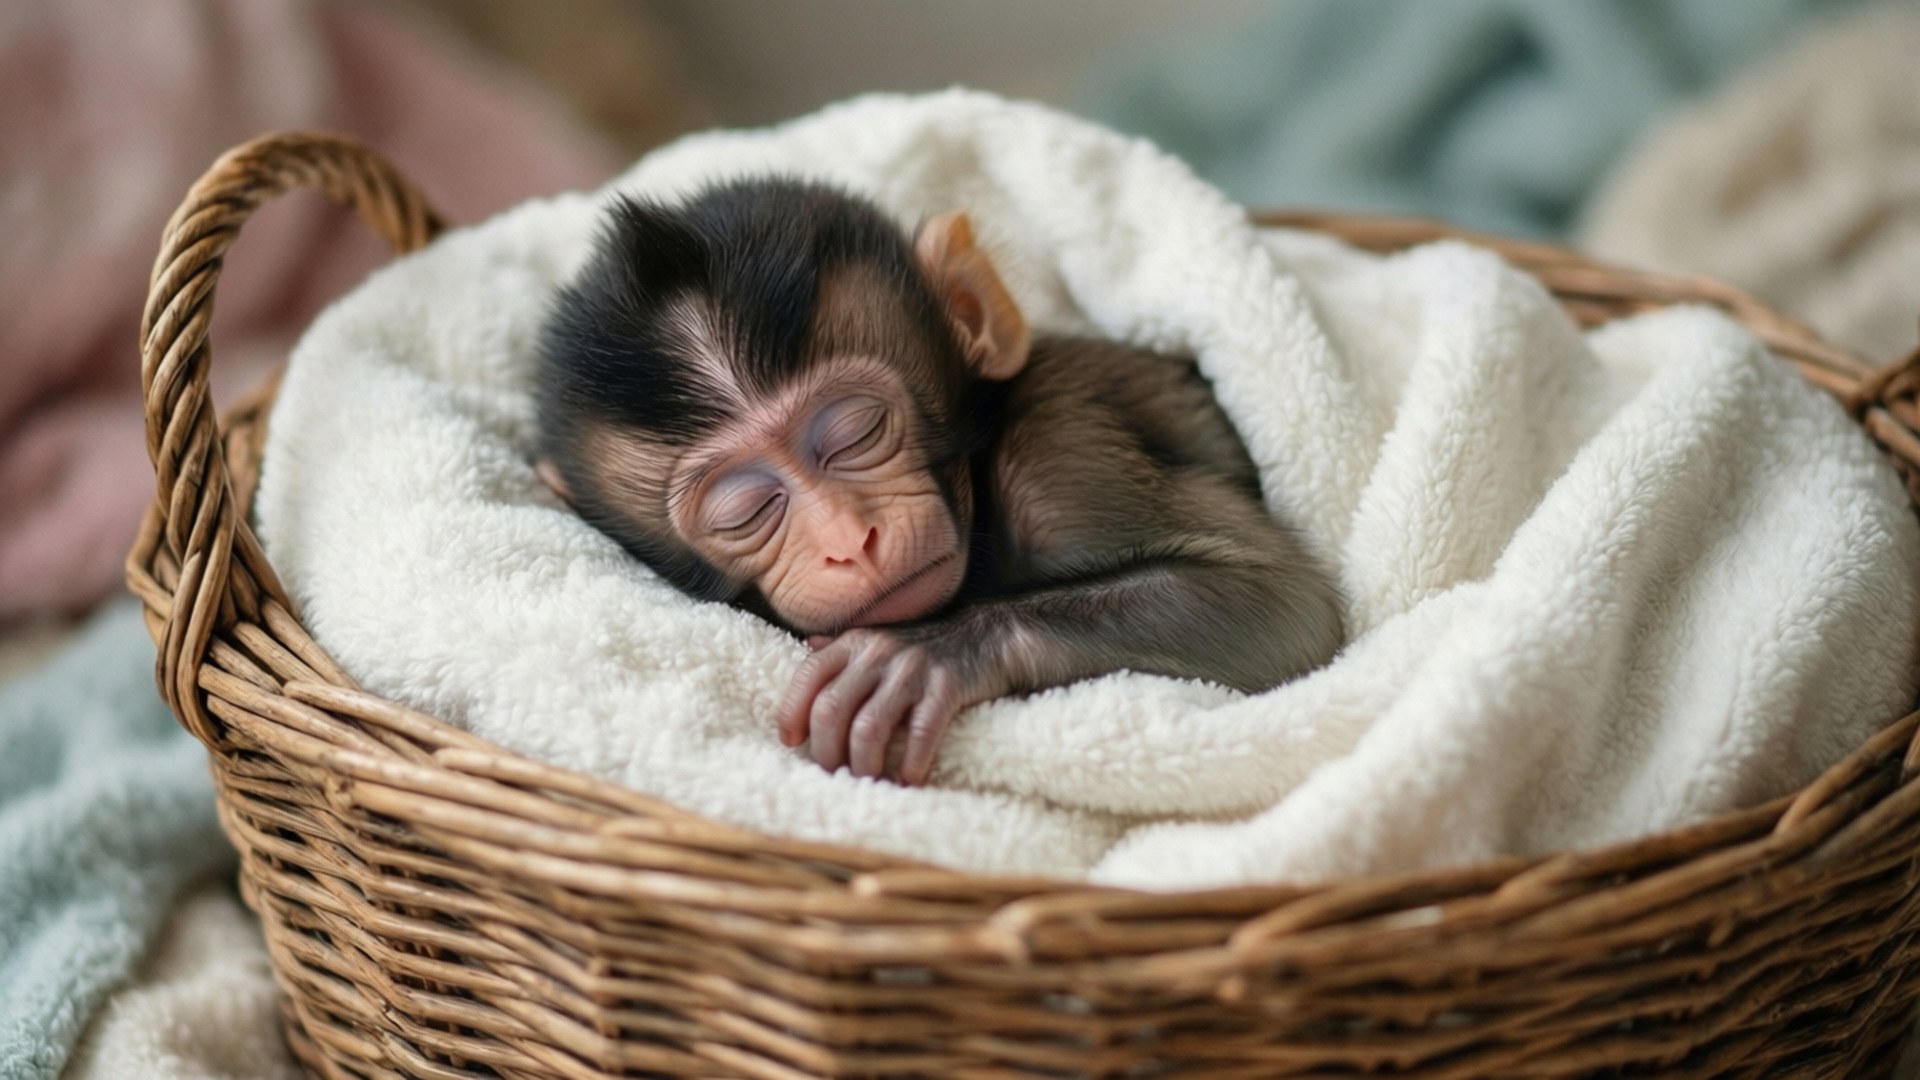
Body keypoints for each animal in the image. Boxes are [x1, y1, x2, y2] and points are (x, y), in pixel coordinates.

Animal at [534, 178, 1343, 786]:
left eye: (855, 433)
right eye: (747, 510)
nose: (848, 540)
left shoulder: (1060, 456)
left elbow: (1286, 602)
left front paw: (928, 655)